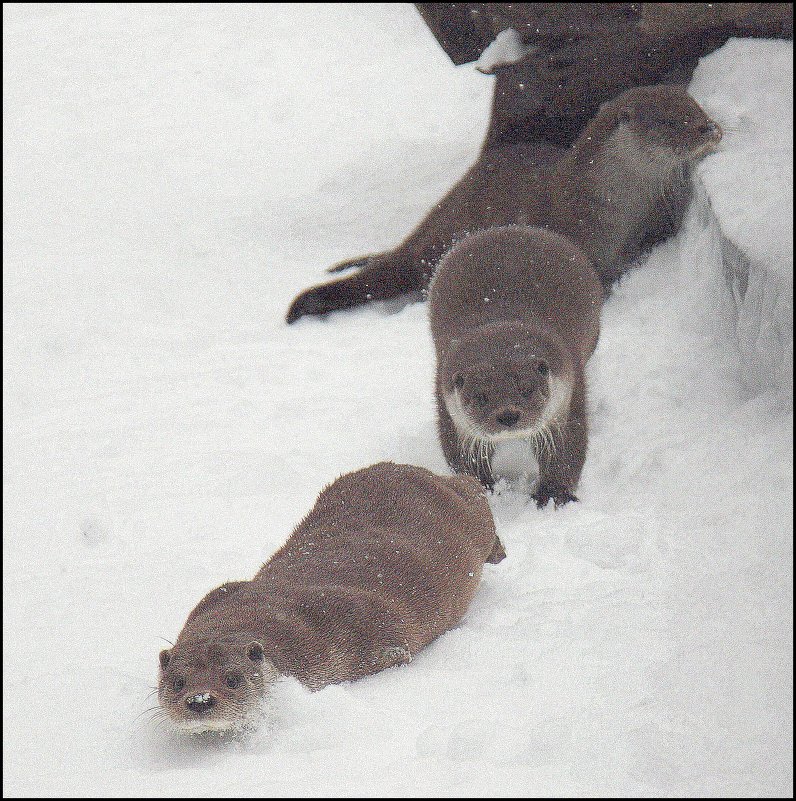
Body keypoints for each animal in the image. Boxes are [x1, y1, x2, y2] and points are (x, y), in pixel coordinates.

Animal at [156, 462, 504, 732]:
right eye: (177, 682)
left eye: (232, 678)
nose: (200, 700)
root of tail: (418, 470)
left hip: (469, 513)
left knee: (474, 490)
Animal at [430, 223, 604, 506]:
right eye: (481, 397)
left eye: (527, 389)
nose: (508, 414)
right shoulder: (445, 398)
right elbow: (460, 456)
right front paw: (484, 489)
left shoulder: (570, 388)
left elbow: (567, 450)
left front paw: (553, 494)